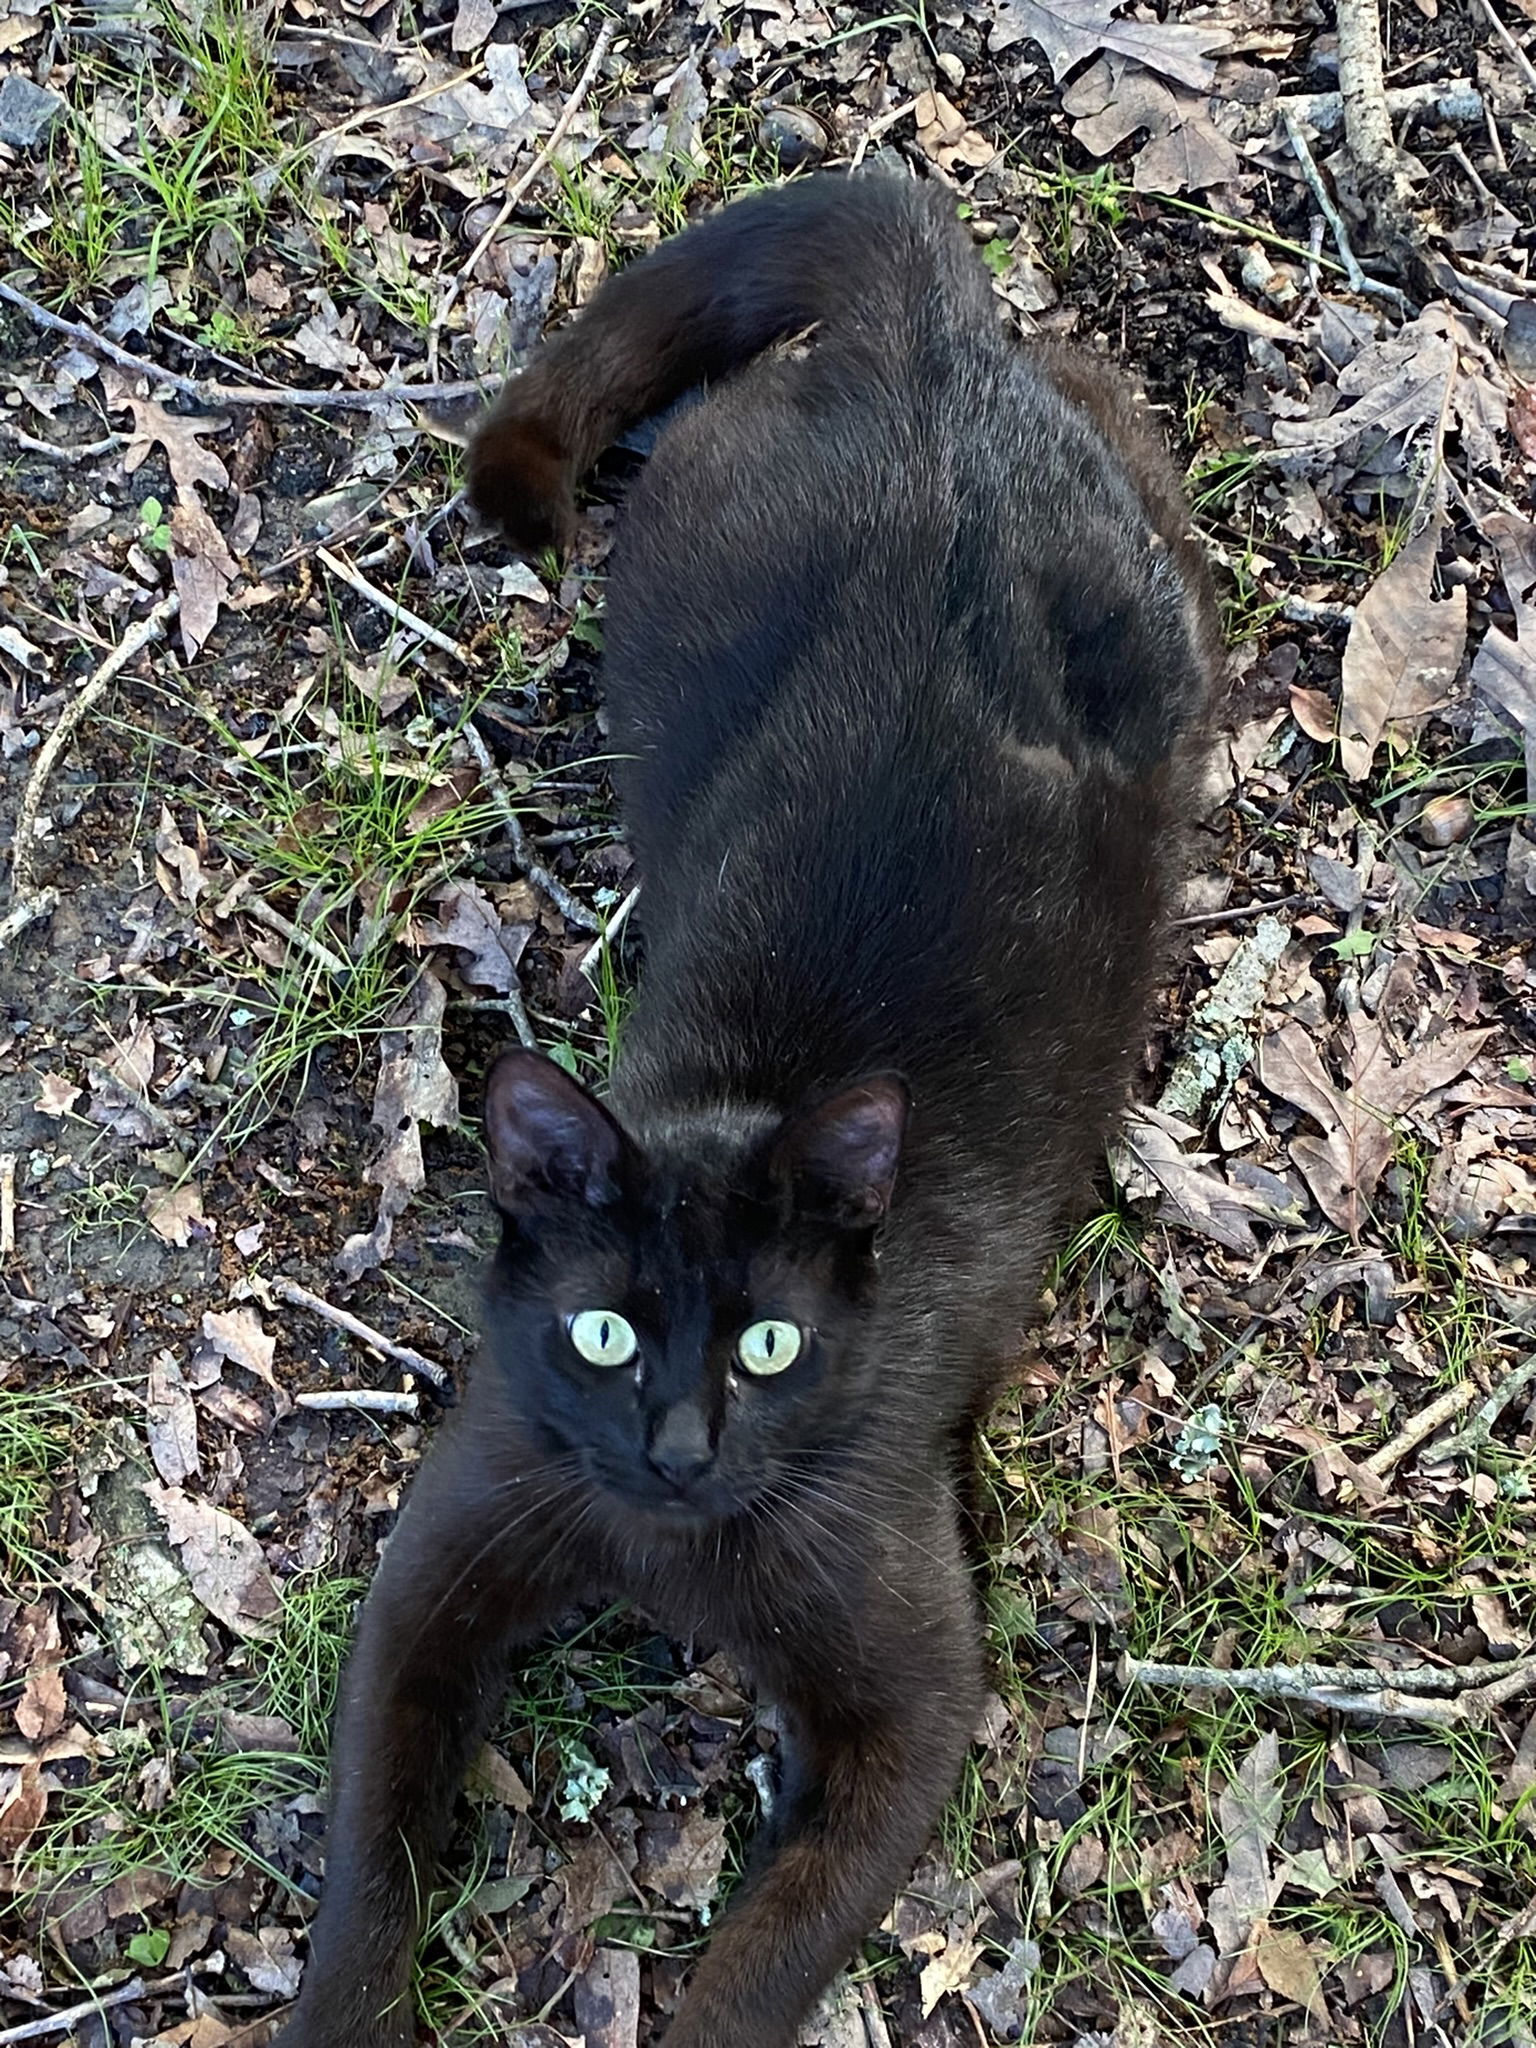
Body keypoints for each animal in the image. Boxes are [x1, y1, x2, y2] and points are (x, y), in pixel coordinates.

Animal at [274, 172, 1212, 2048]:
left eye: (771, 1342)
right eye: (608, 1335)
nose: (682, 1446)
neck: (671, 1552)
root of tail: (936, 343)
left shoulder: (914, 1697)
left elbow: (764, 1955)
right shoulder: (439, 1563)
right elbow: (374, 1852)